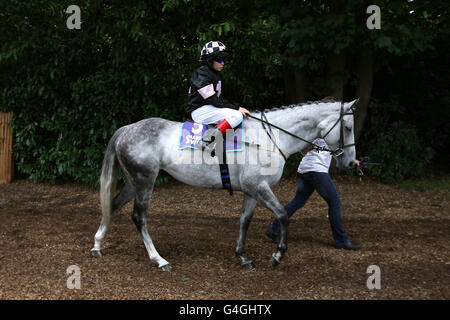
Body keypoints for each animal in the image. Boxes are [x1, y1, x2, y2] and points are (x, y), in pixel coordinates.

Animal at [91, 99, 358, 270]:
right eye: (347, 127)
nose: (349, 161)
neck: (270, 136)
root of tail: (128, 128)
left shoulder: (251, 190)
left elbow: (245, 221)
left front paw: (243, 256)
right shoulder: (259, 186)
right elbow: (283, 215)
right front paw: (278, 254)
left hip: (134, 182)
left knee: (113, 206)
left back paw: (97, 244)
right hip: (145, 181)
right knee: (139, 217)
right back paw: (159, 259)